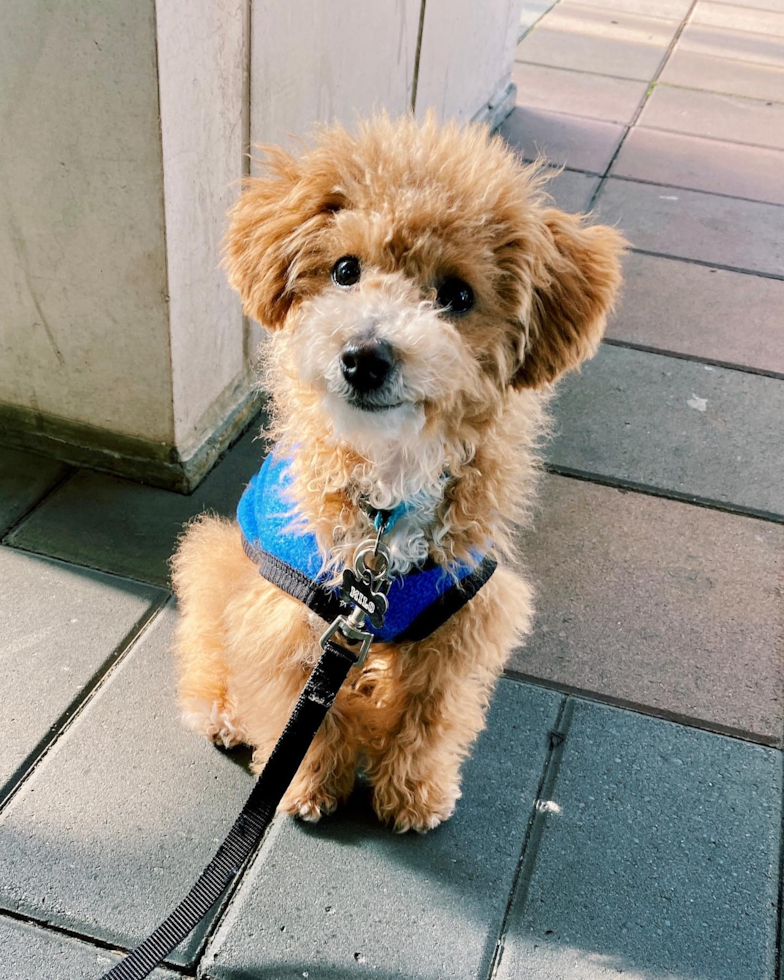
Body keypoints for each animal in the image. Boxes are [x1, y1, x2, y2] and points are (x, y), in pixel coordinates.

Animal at [173, 113, 624, 836]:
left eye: (457, 295)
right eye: (345, 270)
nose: (364, 357)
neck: (386, 494)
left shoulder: (463, 619)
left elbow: (430, 717)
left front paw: (414, 794)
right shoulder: (294, 615)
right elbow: (299, 706)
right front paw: (304, 784)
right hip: (218, 560)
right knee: (208, 647)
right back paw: (221, 710)